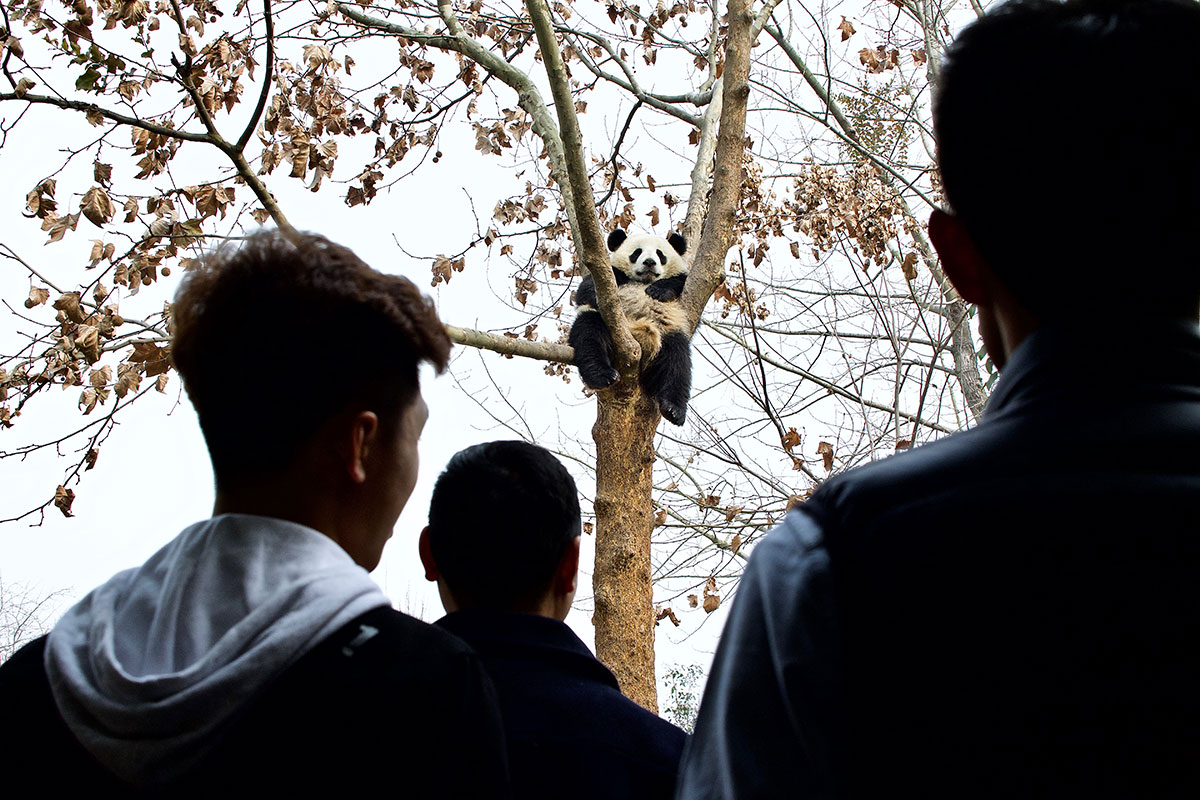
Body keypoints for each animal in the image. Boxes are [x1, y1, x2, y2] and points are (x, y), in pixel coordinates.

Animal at [568, 228, 693, 426]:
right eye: (637, 252)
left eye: (660, 254)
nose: (649, 262)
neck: (643, 282)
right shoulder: (611, 274)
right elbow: (585, 291)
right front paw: (597, 297)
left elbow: (678, 280)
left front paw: (658, 290)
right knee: (589, 334)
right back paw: (602, 375)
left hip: (668, 334)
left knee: (678, 362)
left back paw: (673, 410)